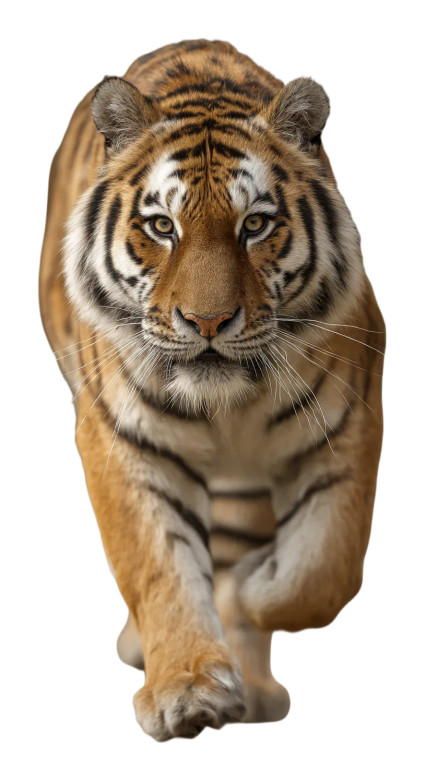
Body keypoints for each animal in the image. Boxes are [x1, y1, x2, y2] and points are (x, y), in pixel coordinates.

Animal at [39, 39, 385, 741]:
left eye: (254, 225)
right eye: (161, 227)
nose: (207, 321)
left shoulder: (351, 423)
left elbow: (326, 571)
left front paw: (249, 594)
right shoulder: (120, 439)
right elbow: (157, 564)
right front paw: (189, 688)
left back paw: (253, 682)